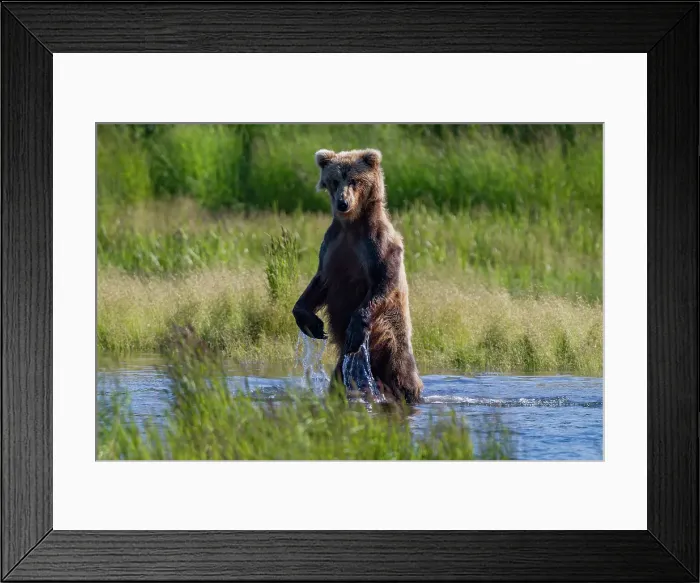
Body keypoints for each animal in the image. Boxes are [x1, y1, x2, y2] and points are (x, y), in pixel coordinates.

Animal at [292, 148, 423, 404]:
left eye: (355, 180)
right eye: (334, 180)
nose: (343, 203)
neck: (351, 226)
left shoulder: (376, 245)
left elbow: (384, 281)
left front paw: (355, 327)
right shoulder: (332, 247)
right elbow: (319, 282)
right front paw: (312, 323)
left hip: (393, 340)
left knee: (403, 376)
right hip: (345, 364)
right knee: (339, 379)